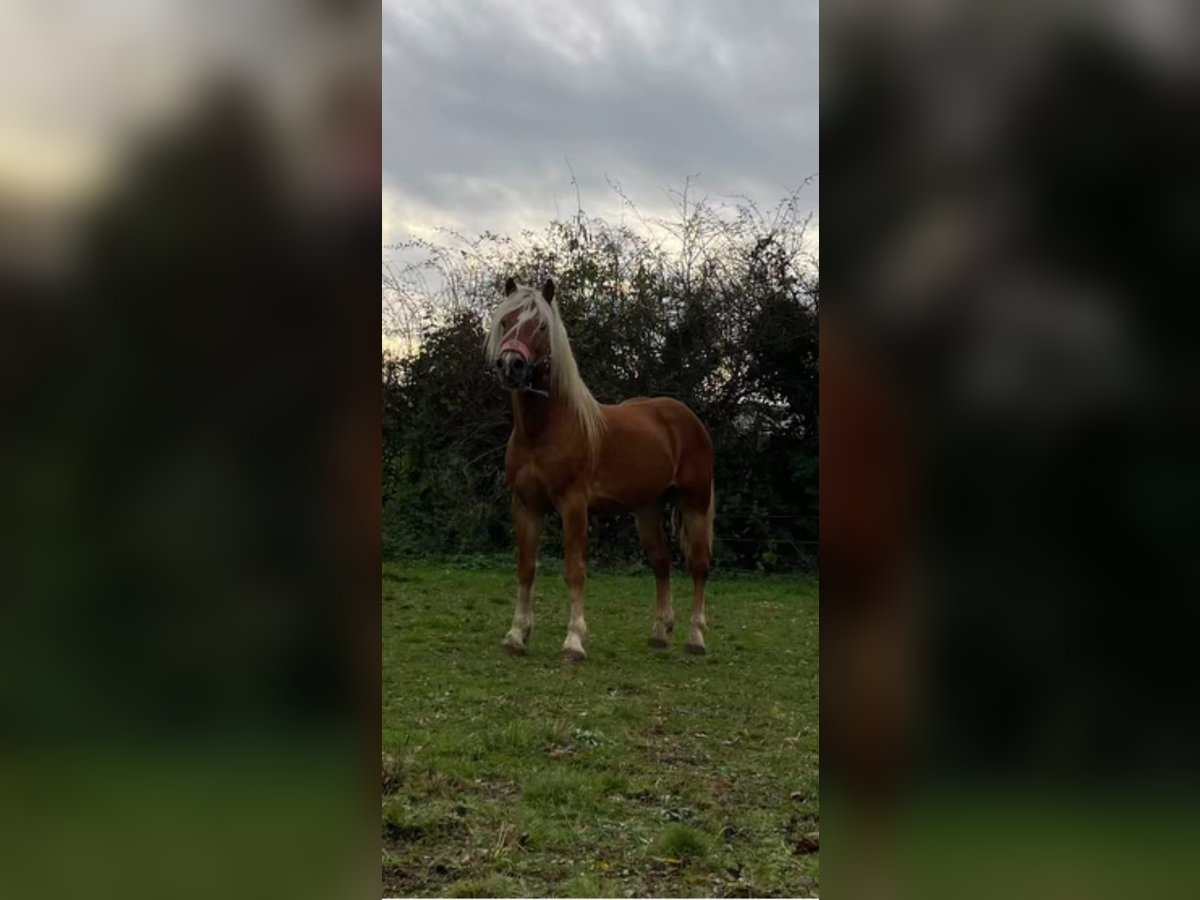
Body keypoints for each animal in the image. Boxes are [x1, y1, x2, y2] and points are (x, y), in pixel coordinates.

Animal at [484, 278, 715, 667]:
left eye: (541, 326)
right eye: (506, 321)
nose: (511, 365)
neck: (544, 430)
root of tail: (688, 418)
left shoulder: (574, 506)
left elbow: (574, 571)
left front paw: (574, 642)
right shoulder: (526, 506)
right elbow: (526, 568)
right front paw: (516, 635)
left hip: (694, 502)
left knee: (698, 565)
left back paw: (696, 638)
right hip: (647, 508)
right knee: (661, 562)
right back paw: (659, 633)